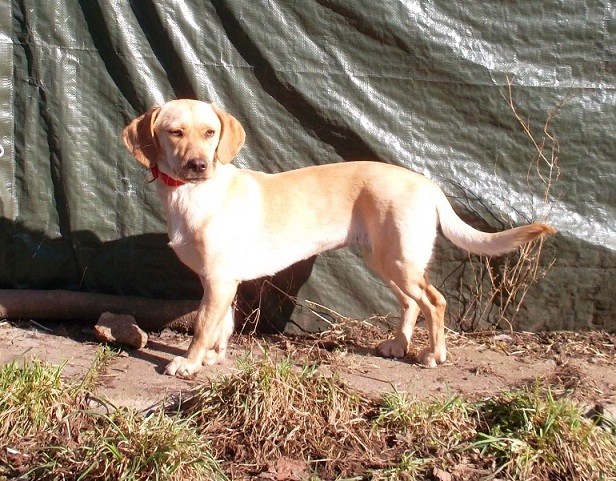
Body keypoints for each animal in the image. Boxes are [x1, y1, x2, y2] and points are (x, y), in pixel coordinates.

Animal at [123, 99, 556, 378]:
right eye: (175, 132)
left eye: (210, 133)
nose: (199, 165)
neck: (191, 195)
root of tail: (426, 182)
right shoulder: (219, 282)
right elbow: (221, 324)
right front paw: (214, 357)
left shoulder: (218, 280)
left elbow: (200, 325)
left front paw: (189, 363)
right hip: (385, 260)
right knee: (410, 304)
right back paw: (398, 345)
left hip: (400, 261)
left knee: (434, 302)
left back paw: (434, 354)